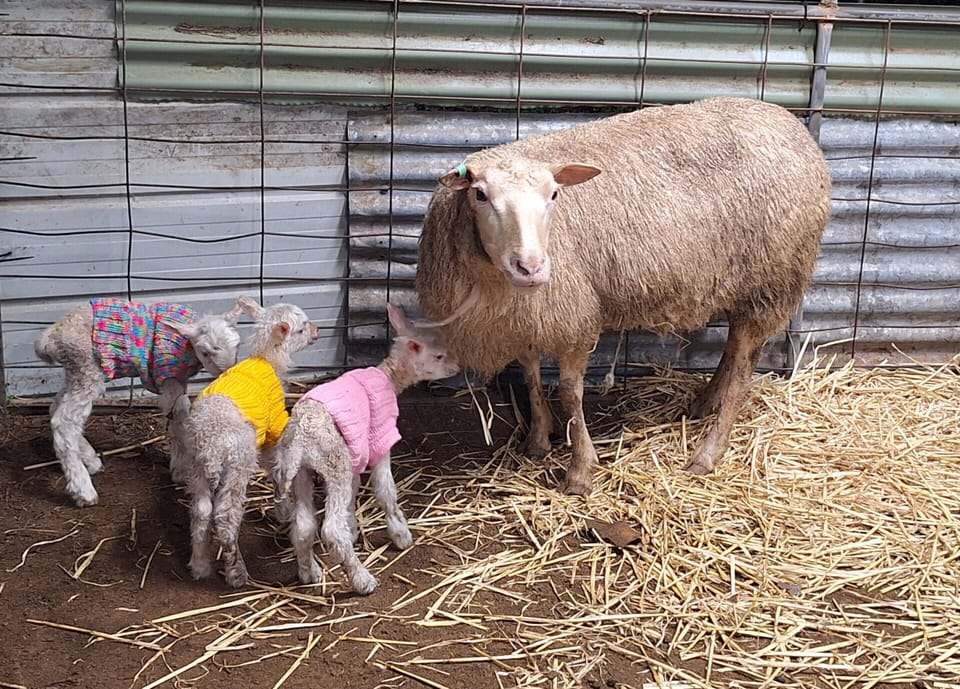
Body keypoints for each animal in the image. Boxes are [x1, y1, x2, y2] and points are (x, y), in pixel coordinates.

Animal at [34, 296, 246, 507]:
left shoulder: (178, 380)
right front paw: (182, 470)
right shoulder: (167, 375)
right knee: (64, 421)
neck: (184, 344)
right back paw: (83, 490)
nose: (227, 373)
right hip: (87, 369)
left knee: (56, 409)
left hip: (76, 373)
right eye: (205, 352)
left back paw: (91, 460)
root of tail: (50, 338)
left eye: (237, 346)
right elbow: (179, 416)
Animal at [184, 296, 320, 588]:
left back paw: (200, 565)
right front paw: (283, 508)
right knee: (225, 516)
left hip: (196, 464)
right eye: (301, 328)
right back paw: (236, 573)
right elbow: (276, 465)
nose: (317, 331)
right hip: (239, 461)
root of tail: (211, 445)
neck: (267, 359)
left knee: (200, 511)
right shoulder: (273, 423)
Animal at [272, 303, 460, 595]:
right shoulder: (379, 437)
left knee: (303, 527)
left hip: (301, 471)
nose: (457, 366)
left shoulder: (356, 451)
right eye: (439, 355)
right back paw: (362, 579)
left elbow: (354, 491)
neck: (389, 376)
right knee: (331, 530)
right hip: (334, 463)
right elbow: (385, 490)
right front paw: (400, 534)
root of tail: (301, 437)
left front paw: (354, 527)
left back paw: (308, 572)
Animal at [415, 97, 832, 496]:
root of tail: (793, 126)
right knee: (733, 348)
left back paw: (708, 452)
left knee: (745, 365)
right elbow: (531, 374)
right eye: (480, 195)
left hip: (773, 277)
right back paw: (704, 403)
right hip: (740, 280)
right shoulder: (527, 315)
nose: (531, 267)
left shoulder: (573, 314)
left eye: (554, 194)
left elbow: (570, 393)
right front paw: (538, 440)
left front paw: (580, 470)